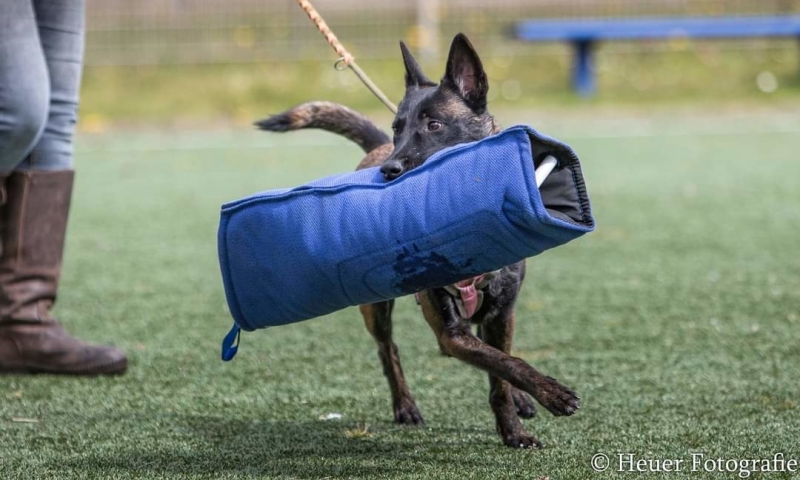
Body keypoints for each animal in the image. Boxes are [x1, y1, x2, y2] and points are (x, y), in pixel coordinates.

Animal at [253, 32, 580, 446]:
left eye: (435, 125)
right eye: (398, 127)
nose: (390, 169)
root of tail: (376, 149)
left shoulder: (503, 313)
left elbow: (502, 370)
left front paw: (515, 425)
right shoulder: (450, 334)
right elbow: (506, 363)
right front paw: (551, 395)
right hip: (376, 309)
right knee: (388, 349)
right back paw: (404, 406)